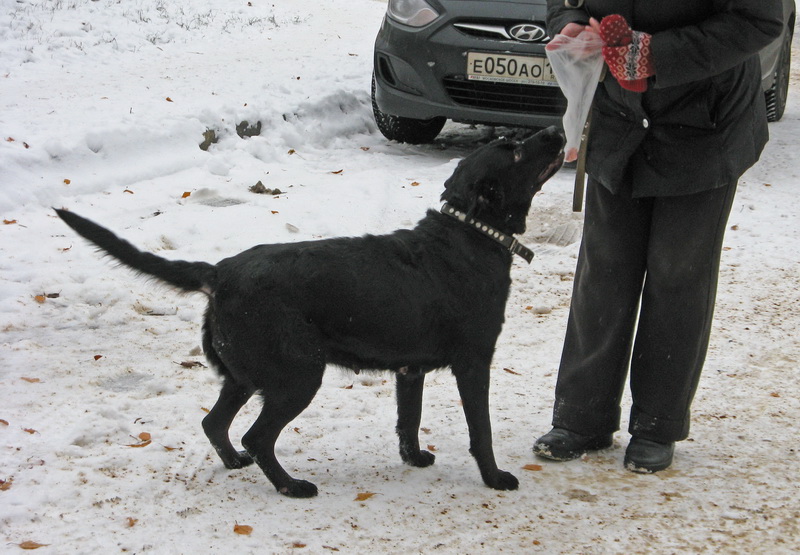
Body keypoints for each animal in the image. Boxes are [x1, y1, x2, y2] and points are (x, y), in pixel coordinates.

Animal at [56, 127, 564, 500]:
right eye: (514, 150)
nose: (557, 130)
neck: (469, 235)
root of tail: (220, 272)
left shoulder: (409, 370)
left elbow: (409, 421)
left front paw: (414, 459)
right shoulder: (474, 363)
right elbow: (482, 430)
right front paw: (495, 478)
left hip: (245, 376)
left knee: (214, 423)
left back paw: (236, 464)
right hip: (297, 375)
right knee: (256, 437)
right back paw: (291, 486)